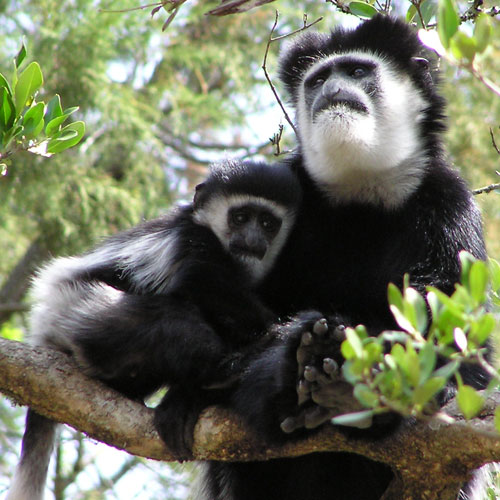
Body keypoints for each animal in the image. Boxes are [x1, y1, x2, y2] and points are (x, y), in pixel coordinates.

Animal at [6, 159, 300, 500]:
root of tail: (43, 328)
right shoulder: (191, 240)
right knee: (171, 321)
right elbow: (204, 281)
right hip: (78, 309)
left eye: (267, 223)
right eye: (240, 217)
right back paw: (226, 371)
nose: (252, 241)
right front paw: (280, 334)